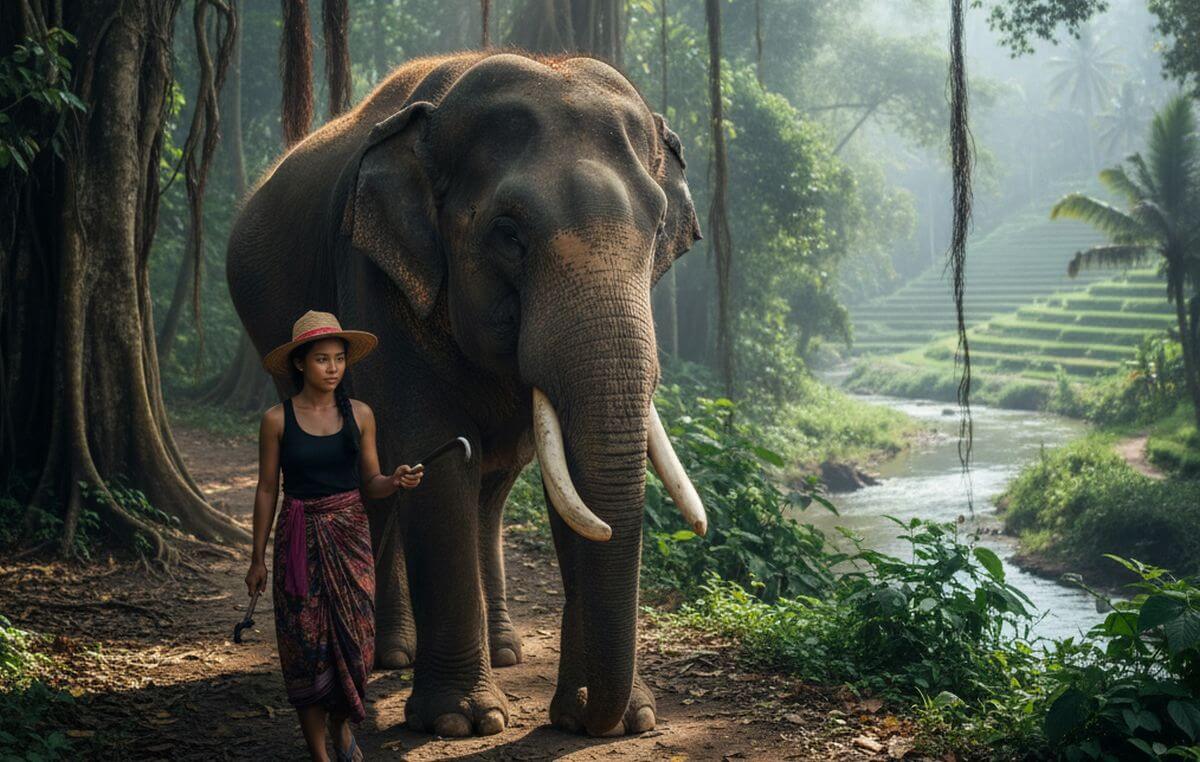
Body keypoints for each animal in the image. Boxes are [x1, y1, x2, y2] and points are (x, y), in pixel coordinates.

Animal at [226, 50, 707, 738]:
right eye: (508, 234)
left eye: (660, 226)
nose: (599, 718)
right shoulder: (374, 275)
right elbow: (433, 453)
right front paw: (463, 721)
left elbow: (570, 493)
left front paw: (605, 717)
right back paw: (389, 656)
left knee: (493, 486)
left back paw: (501, 651)